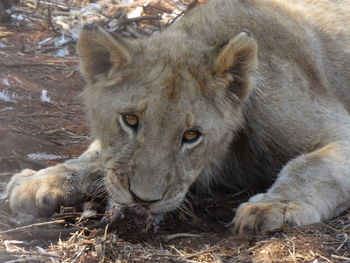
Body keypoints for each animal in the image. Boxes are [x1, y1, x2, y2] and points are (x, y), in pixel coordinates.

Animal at [4, 0, 350, 239]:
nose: (143, 201)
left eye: (191, 136)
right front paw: (40, 180)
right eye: (130, 120)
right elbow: (98, 156)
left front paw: (273, 206)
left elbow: (310, 166)